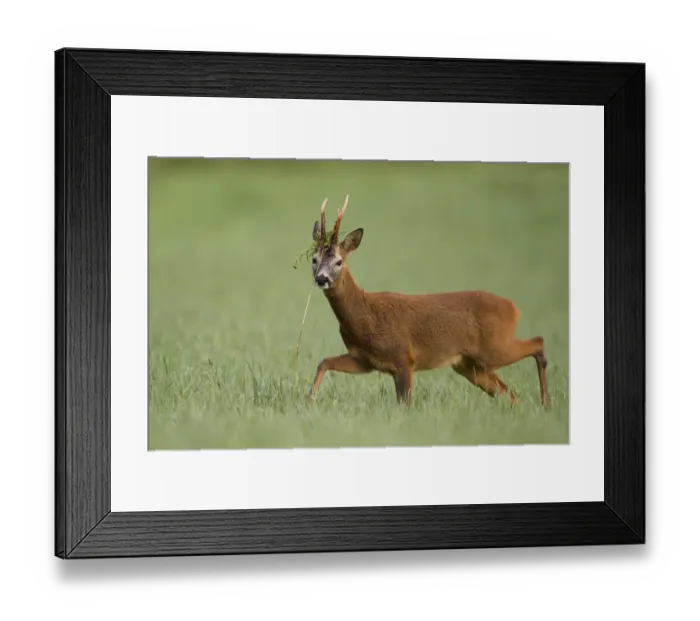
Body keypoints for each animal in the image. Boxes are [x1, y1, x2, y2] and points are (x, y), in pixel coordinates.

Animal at [307, 196, 551, 409]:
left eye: (339, 261)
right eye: (314, 259)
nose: (322, 279)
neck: (364, 314)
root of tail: (514, 308)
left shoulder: (404, 357)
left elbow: (406, 405)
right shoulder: (364, 360)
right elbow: (324, 362)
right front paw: (310, 401)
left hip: (494, 348)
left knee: (537, 342)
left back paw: (546, 403)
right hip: (469, 364)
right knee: (510, 394)